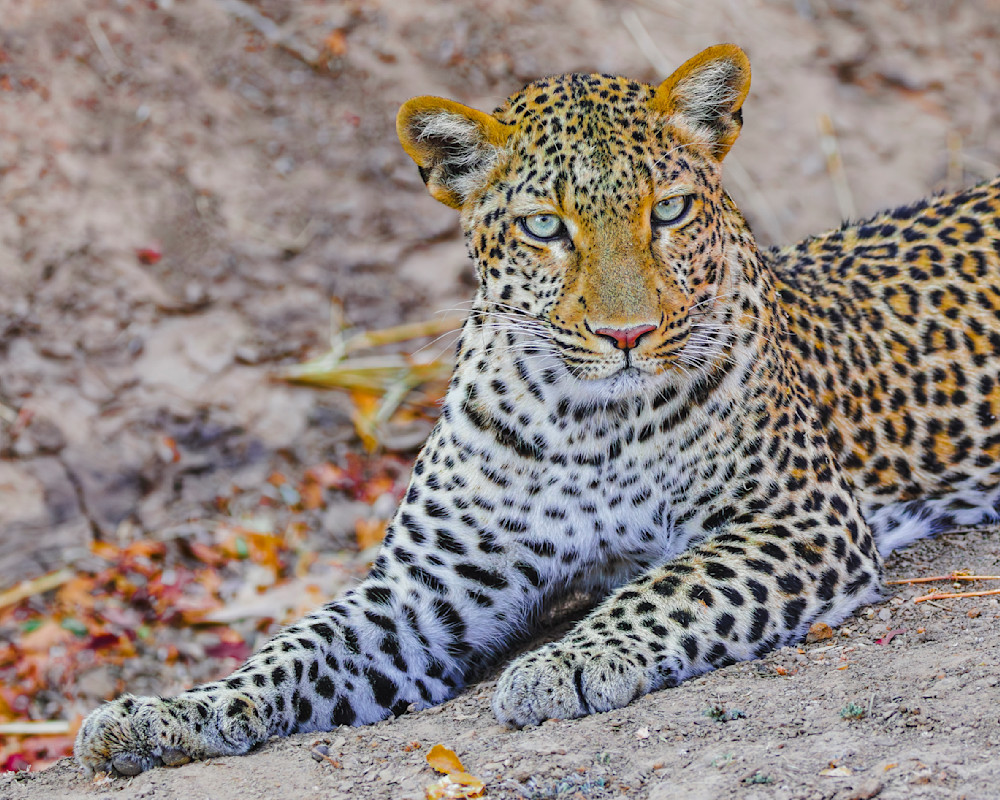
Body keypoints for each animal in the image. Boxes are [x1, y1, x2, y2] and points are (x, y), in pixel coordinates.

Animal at [75, 43, 1000, 776]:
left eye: (669, 210)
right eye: (545, 228)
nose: (626, 334)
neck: (583, 418)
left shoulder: (798, 521)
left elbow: (671, 588)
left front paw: (569, 663)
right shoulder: (425, 586)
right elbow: (295, 648)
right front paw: (166, 711)